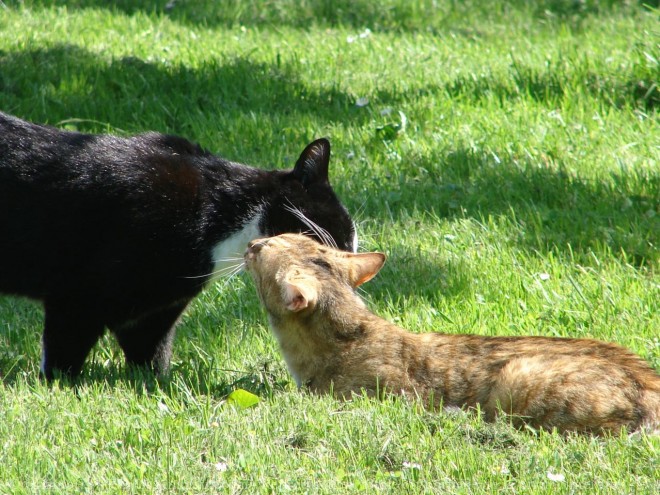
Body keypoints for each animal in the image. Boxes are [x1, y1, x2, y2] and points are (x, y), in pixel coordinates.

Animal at [0, 113, 356, 380]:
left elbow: (151, 354)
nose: (353, 271)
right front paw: (57, 385)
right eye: (339, 235)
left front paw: (152, 384)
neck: (221, 213)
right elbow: (64, 351)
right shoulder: (77, 295)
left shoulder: (152, 310)